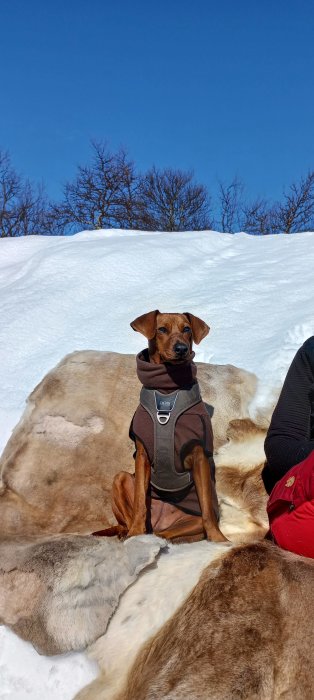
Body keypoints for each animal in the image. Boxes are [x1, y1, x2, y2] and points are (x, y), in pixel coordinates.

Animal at [94, 308, 227, 544]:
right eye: (162, 329)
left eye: (187, 329)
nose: (182, 349)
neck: (167, 390)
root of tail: (158, 523)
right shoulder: (142, 454)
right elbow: (140, 501)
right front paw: (135, 533)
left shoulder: (198, 454)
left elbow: (207, 510)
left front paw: (218, 539)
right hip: (120, 478)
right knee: (126, 521)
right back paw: (129, 532)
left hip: (186, 523)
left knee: (166, 533)